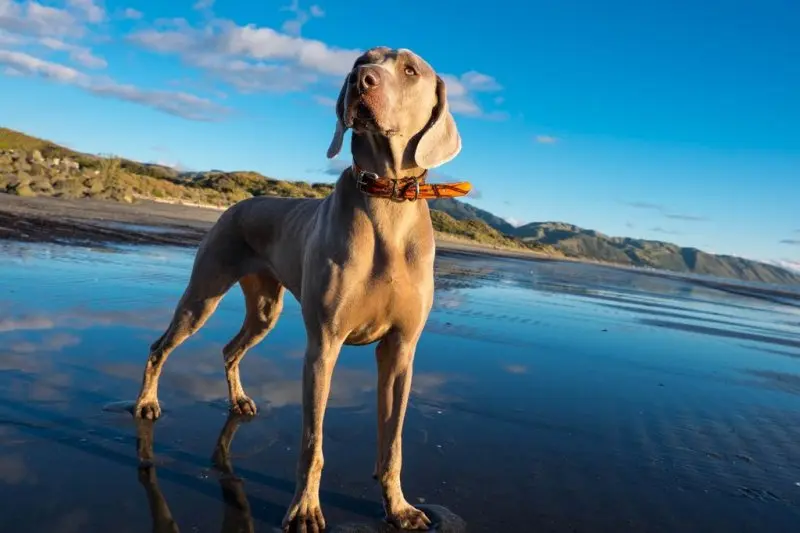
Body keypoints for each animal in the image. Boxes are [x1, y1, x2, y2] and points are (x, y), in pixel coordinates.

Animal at [134, 46, 466, 532]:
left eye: (410, 69)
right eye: (361, 60)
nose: (361, 79)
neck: (386, 202)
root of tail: (239, 204)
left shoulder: (401, 349)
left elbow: (393, 442)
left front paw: (400, 508)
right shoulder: (323, 346)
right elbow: (313, 443)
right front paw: (306, 509)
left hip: (265, 309)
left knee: (230, 349)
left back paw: (239, 401)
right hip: (203, 294)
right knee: (160, 346)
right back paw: (146, 403)